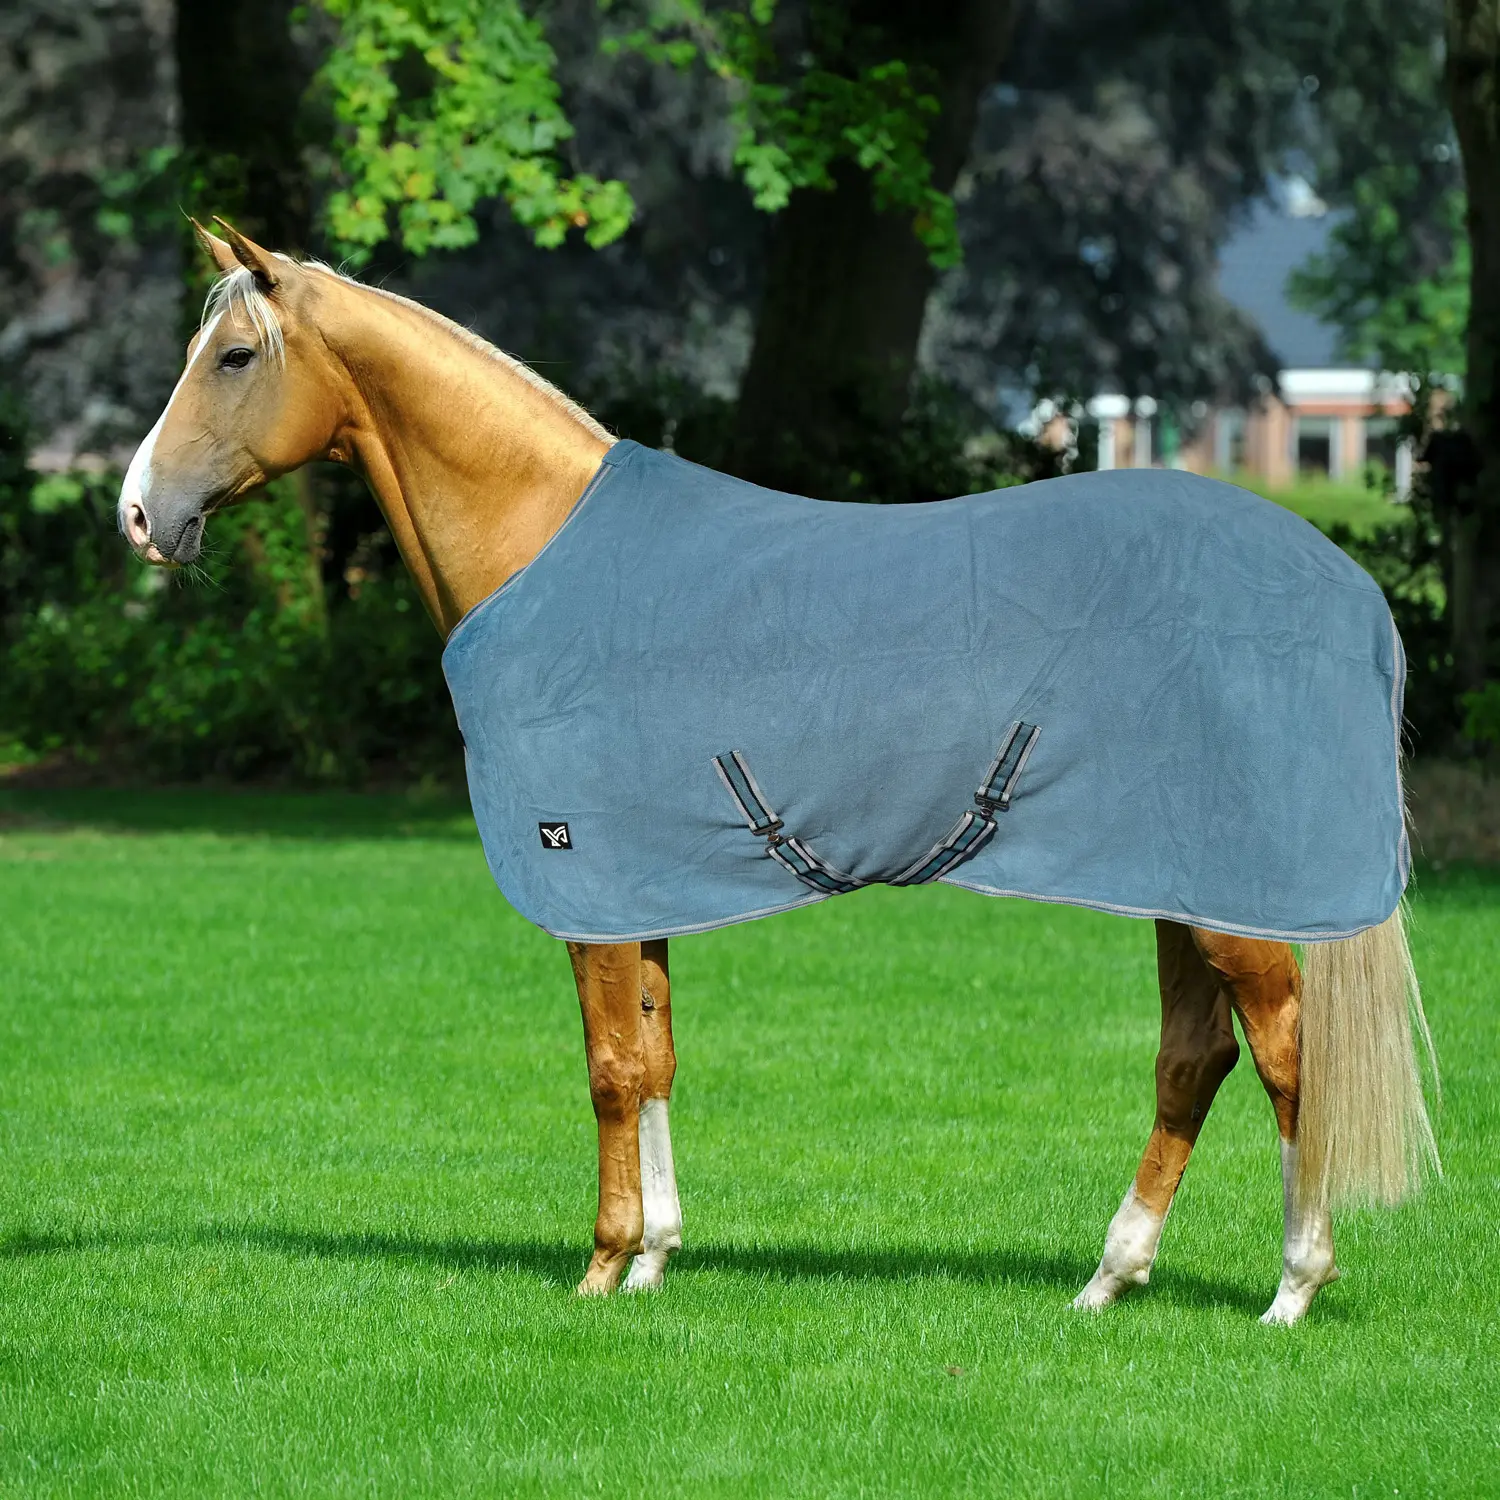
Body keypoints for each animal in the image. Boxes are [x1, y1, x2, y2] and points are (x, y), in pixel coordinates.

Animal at [116, 218, 1439, 1323]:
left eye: (234, 356)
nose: (137, 514)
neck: (546, 549)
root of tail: (1339, 585)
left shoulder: (586, 886)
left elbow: (609, 1070)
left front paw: (600, 1267)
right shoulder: (639, 887)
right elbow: (656, 1057)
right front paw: (656, 1258)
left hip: (1235, 904)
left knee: (1287, 1060)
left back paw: (1293, 1289)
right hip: (1174, 882)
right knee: (1193, 1059)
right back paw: (1110, 1280)